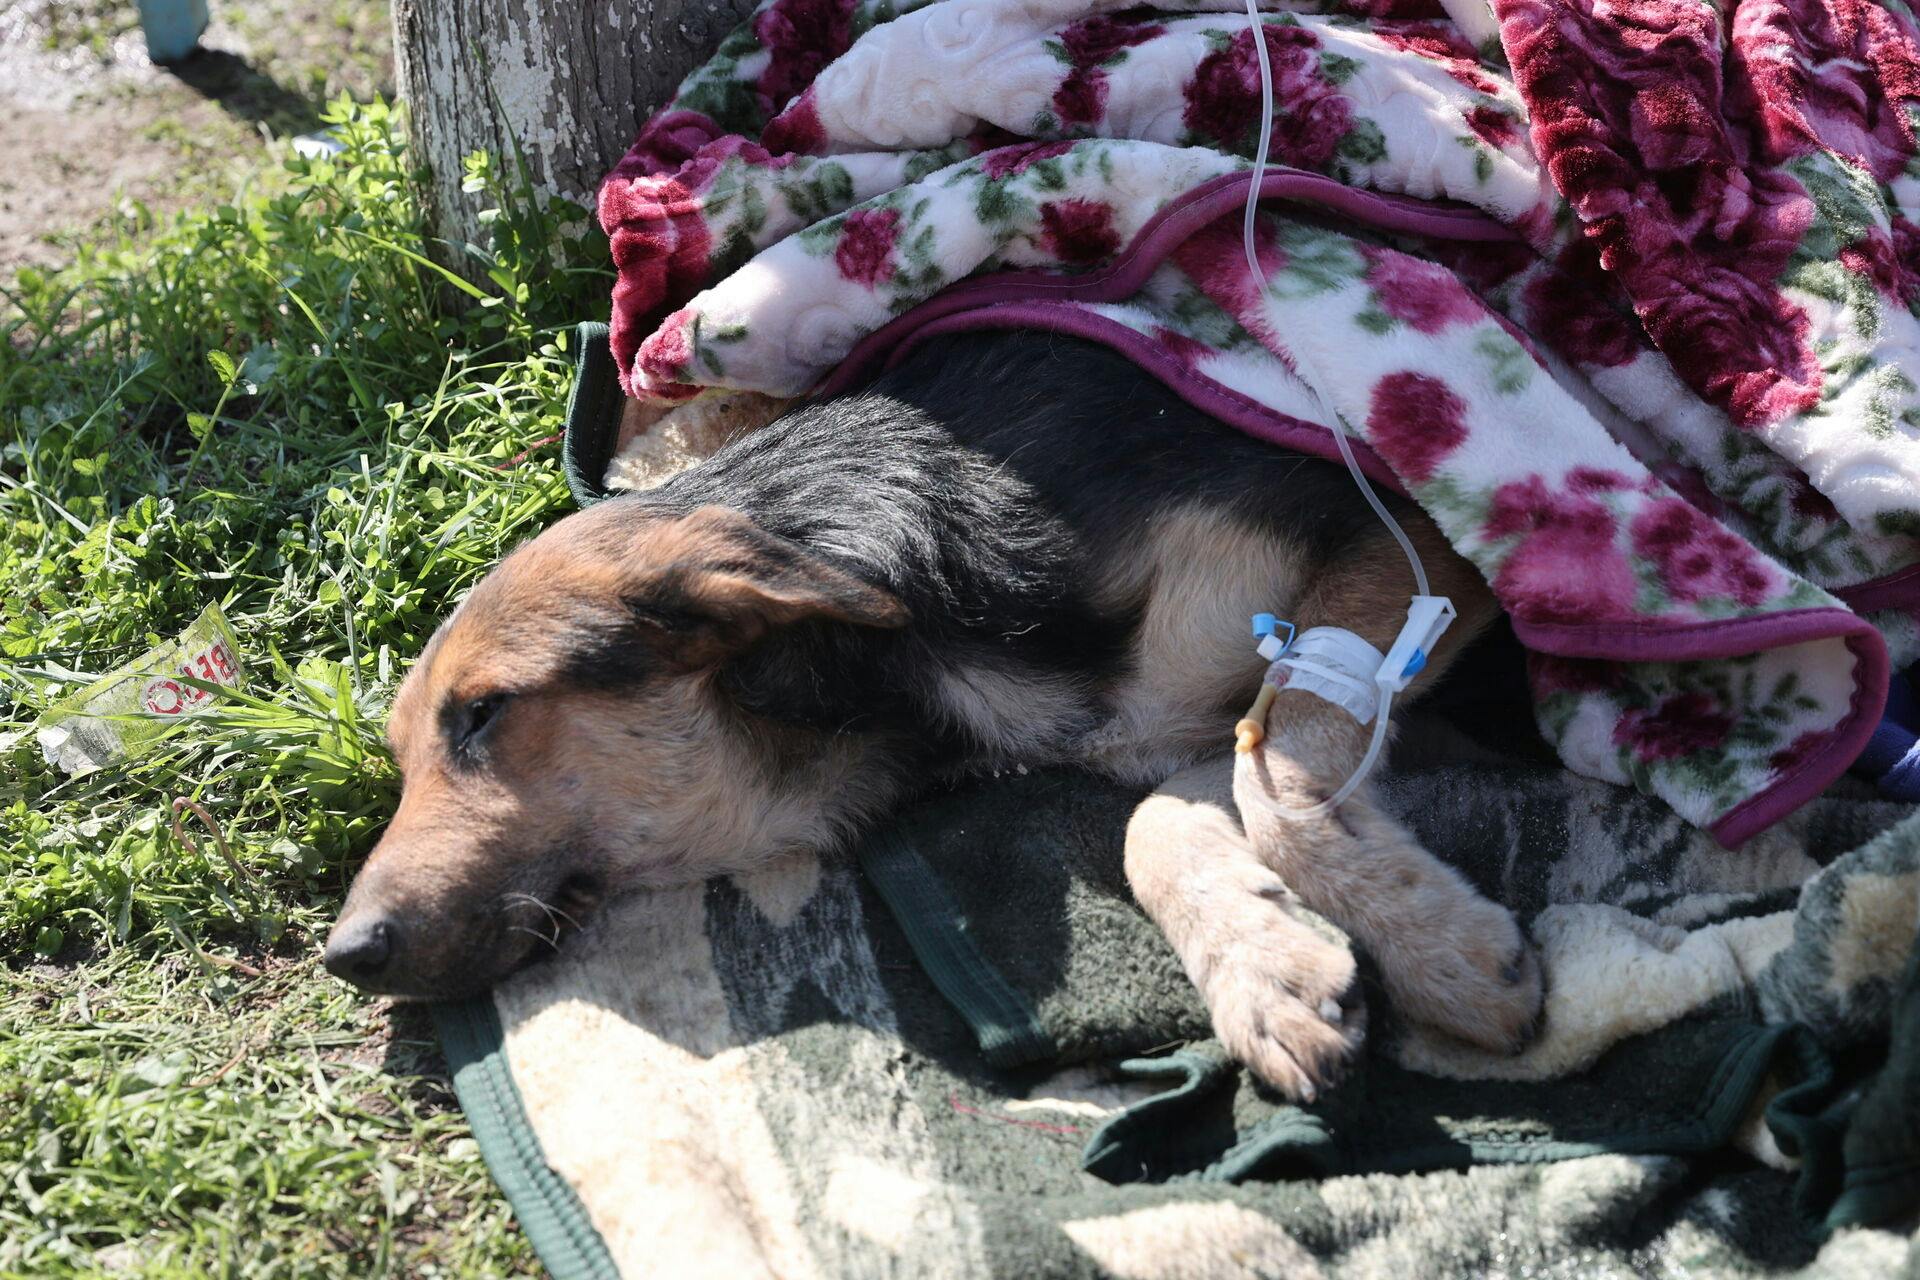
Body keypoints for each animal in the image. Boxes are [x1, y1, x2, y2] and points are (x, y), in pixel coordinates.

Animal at [326, 330, 1543, 1105]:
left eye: (483, 714)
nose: (344, 952)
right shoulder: (1167, 723)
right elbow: (1168, 809)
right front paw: (1268, 970)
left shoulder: (1405, 536)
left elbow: (1277, 764)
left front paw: (1443, 952)